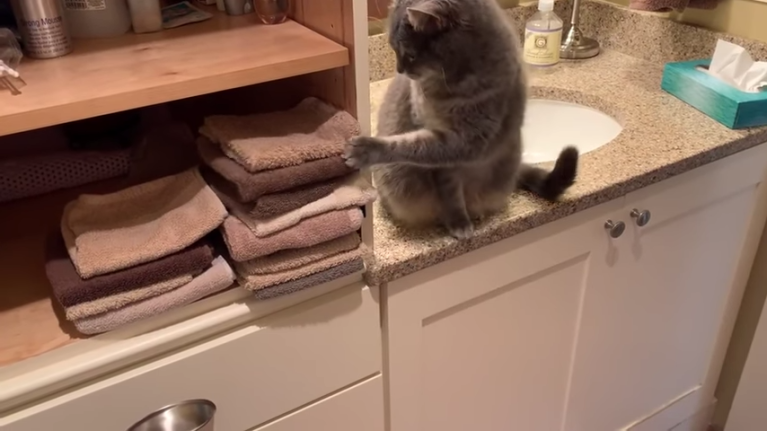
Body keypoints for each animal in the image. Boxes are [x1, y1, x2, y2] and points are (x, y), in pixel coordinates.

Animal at [344, 0, 580, 238]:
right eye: (392, 48)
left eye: (409, 54)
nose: (399, 70)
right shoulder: (436, 138)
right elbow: (445, 185)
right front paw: (457, 221)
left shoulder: (471, 139)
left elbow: (411, 147)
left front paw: (364, 149)